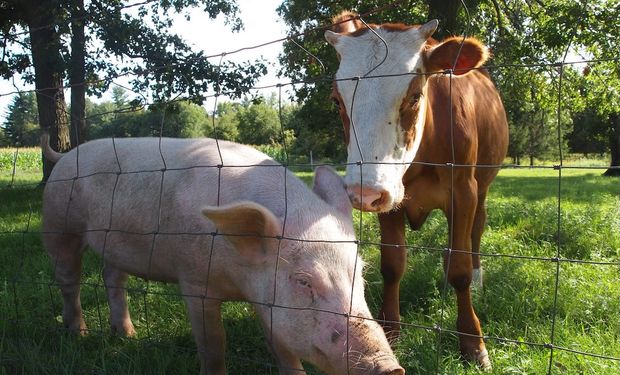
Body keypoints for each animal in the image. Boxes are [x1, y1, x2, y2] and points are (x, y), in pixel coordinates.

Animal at [41, 135, 404, 375]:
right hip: (59, 222)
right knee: (68, 279)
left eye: (360, 274)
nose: (389, 367)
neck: (238, 280)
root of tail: (65, 155)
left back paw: (127, 335)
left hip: (113, 244)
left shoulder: (267, 299)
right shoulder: (193, 281)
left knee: (113, 278)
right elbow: (214, 342)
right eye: (304, 282)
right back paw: (78, 333)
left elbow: (283, 348)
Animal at [324, 11, 508, 370]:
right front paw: (390, 333)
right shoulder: (388, 196)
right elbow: (392, 265)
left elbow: (459, 270)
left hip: (482, 188)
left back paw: (479, 276)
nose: (362, 191)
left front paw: (473, 343)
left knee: (476, 231)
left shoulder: (463, 192)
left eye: (414, 97)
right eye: (337, 101)